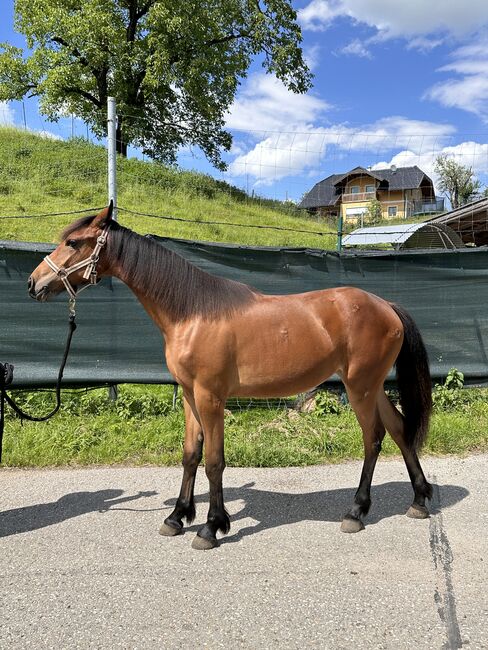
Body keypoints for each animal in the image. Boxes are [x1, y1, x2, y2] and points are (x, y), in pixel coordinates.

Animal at [27, 204, 430, 548]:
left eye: (73, 243)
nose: (34, 283)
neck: (192, 312)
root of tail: (386, 305)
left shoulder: (210, 397)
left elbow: (214, 460)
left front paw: (211, 526)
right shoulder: (189, 395)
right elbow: (191, 455)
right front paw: (177, 517)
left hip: (360, 387)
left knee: (373, 438)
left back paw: (356, 511)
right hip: (371, 385)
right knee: (399, 429)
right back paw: (419, 500)